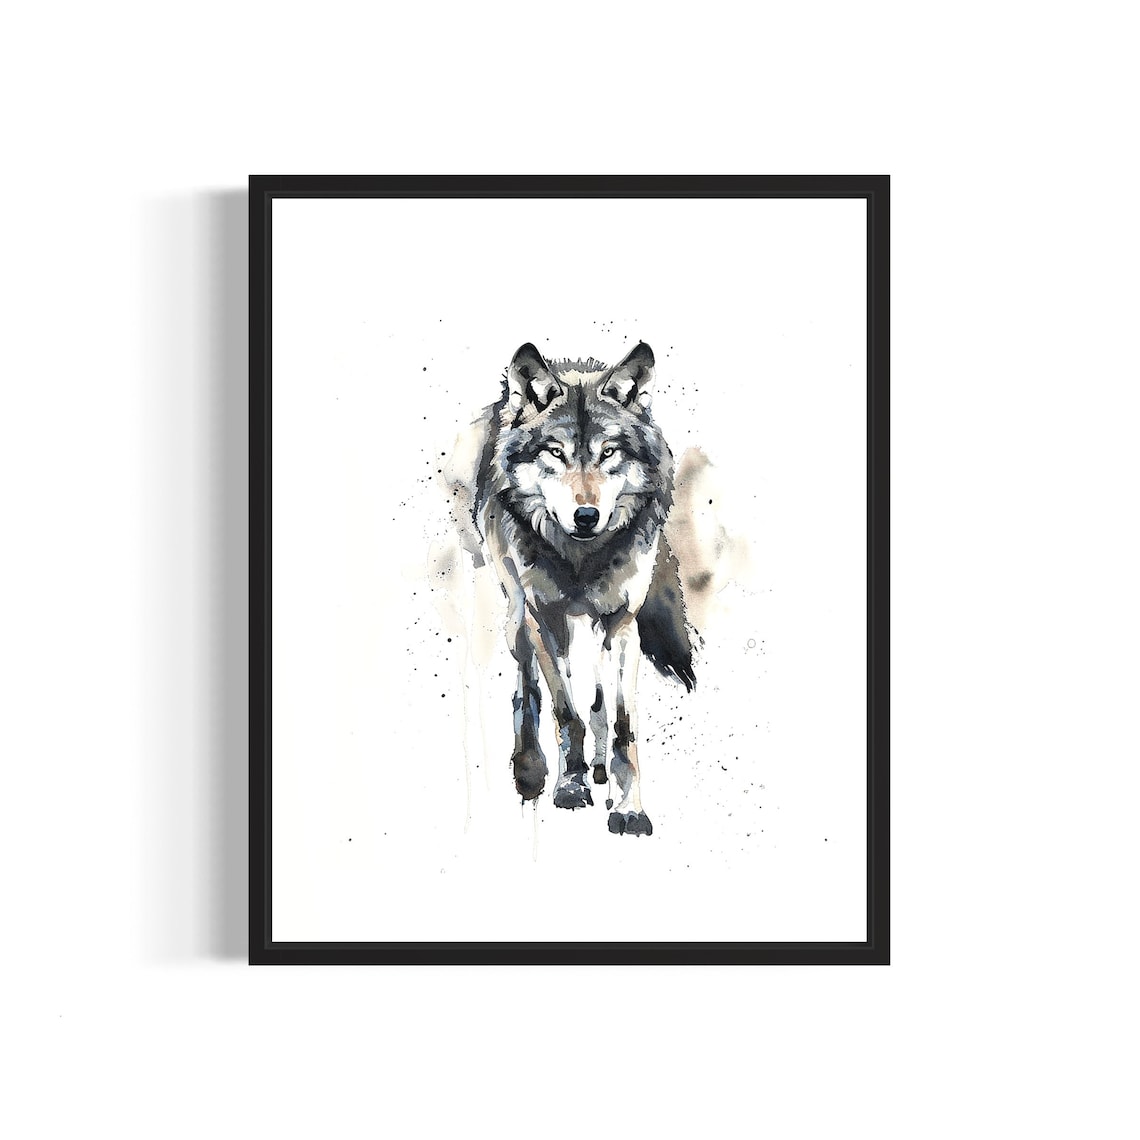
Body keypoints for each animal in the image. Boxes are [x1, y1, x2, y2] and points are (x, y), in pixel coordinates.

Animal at [448, 341, 694, 837]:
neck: (582, 562)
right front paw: (570, 784)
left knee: (597, 696)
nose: (586, 516)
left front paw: (629, 806)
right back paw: (530, 769)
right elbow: (566, 711)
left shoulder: (622, 622)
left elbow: (619, 723)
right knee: (528, 688)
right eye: (555, 453)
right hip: (517, 617)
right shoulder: (544, 617)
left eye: (609, 452)